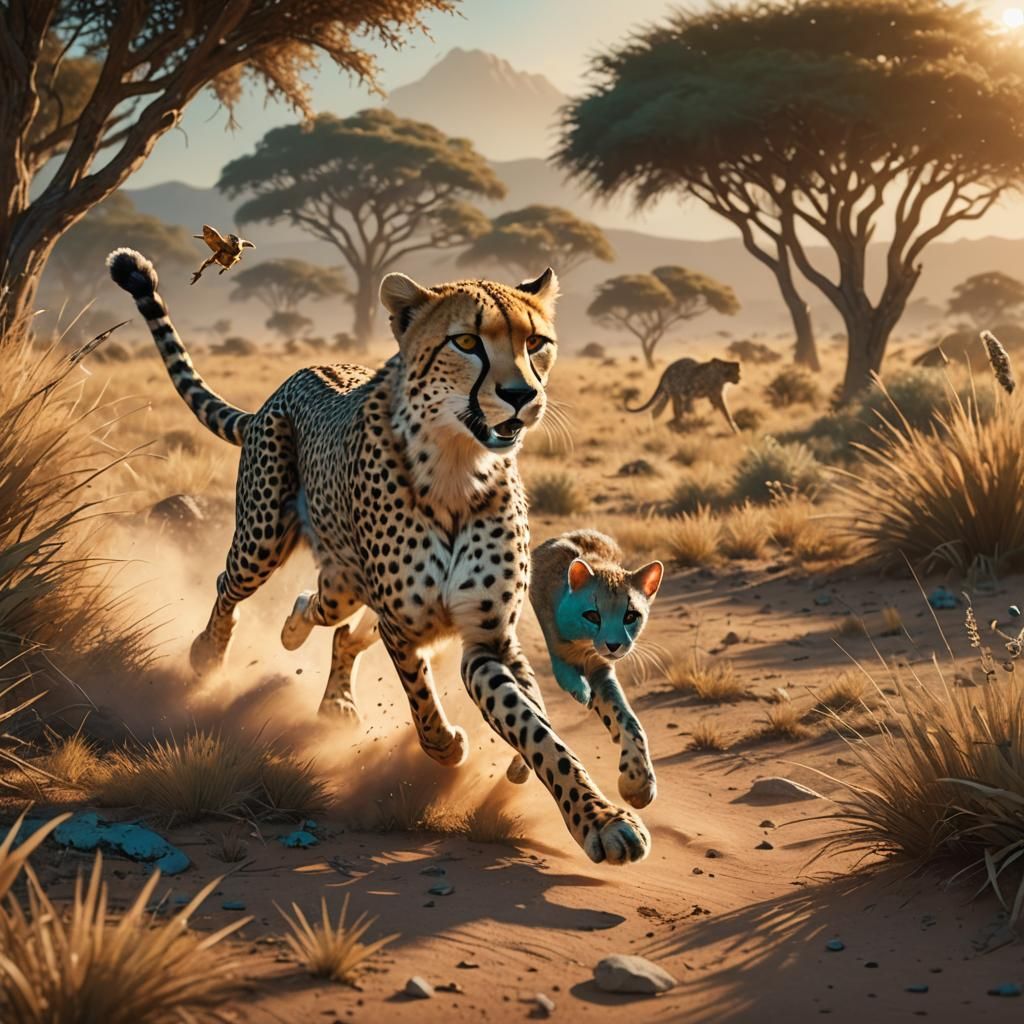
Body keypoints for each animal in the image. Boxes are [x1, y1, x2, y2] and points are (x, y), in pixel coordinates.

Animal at [530, 529, 663, 810]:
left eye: (630, 616)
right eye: (593, 615)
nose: (613, 645)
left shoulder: (602, 669)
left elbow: (627, 717)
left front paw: (638, 779)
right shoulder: (554, 639)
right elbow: (563, 670)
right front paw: (581, 691)